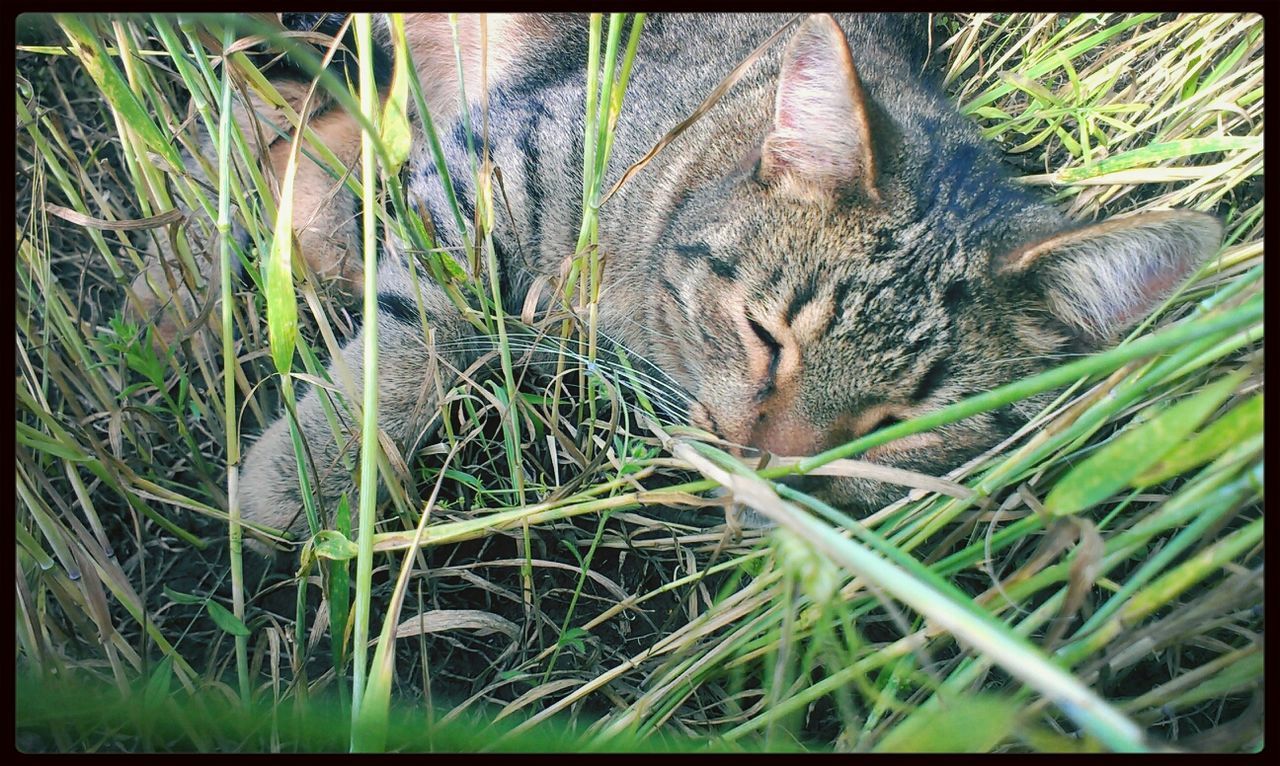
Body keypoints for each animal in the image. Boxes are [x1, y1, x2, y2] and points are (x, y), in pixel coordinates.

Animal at [127, 12, 1218, 553]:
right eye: (768, 335)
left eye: (901, 423)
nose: (761, 465)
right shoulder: (498, 161)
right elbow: (413, 335)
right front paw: (300, 483)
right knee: (242, 110)